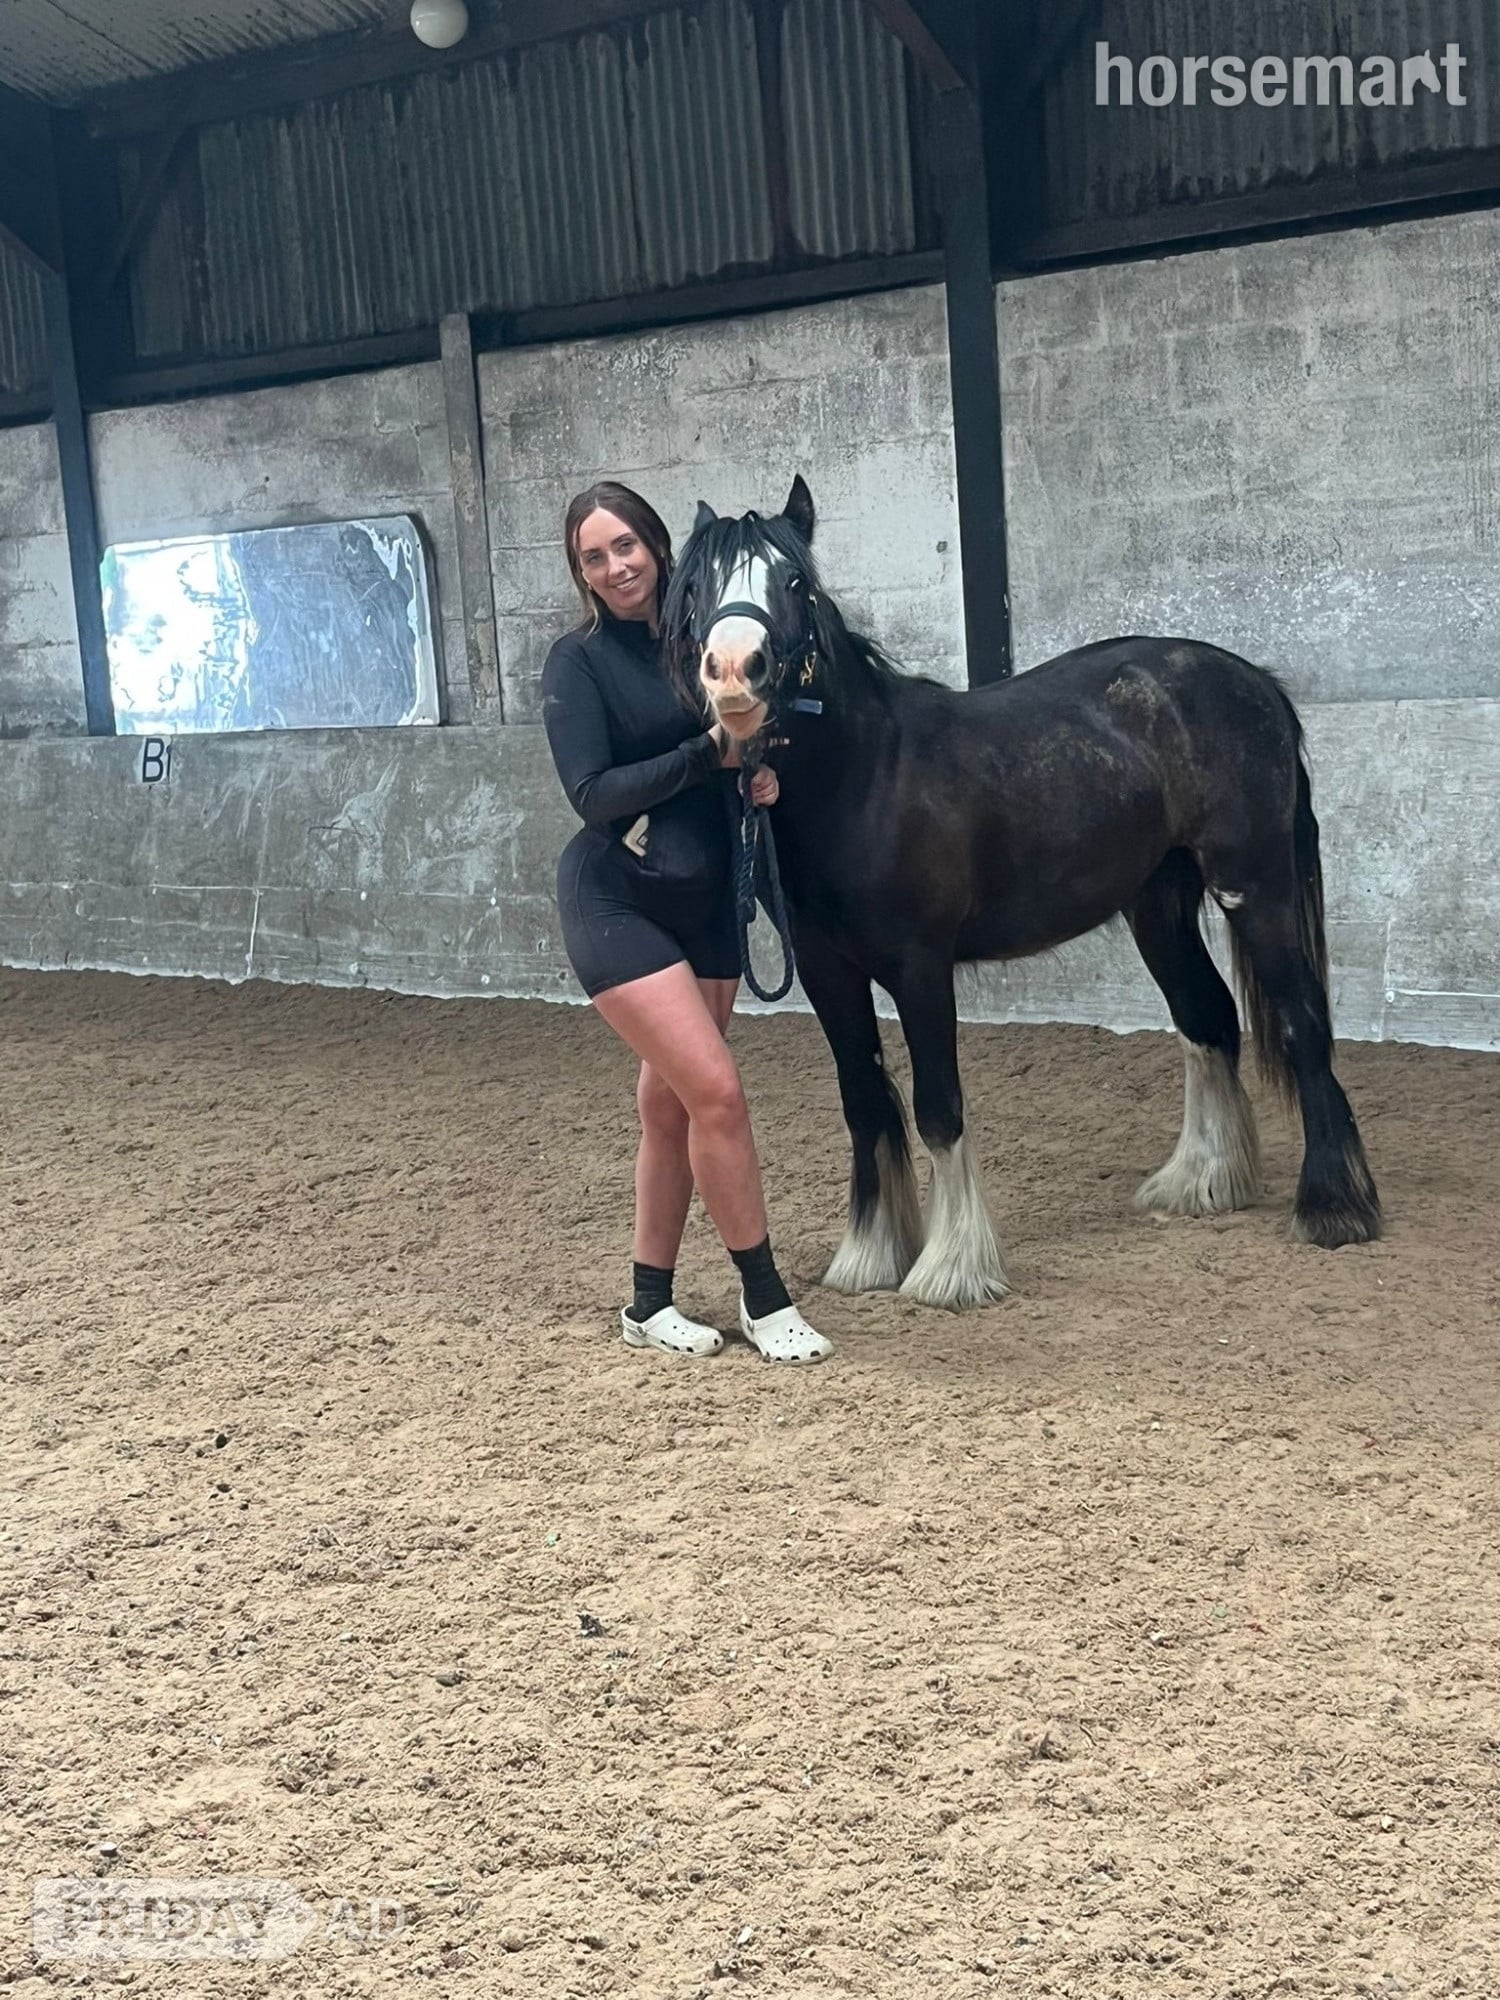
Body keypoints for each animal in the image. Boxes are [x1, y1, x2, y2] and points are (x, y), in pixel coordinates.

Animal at [659, 476, 1382, 1310]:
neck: (867, 778)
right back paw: (1201, 1181)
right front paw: (870, 1256)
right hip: (1157, 905)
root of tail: (1256, 683)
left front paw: (951, 1268)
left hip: (1254, 887)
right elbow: (864, 1102)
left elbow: (939, 1109)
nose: (732, 670)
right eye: (697, 587)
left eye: (795, 582)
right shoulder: (826, 973)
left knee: (1301, 1022)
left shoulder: (920, 968)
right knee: (1207, 1019)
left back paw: (1334, 1206)